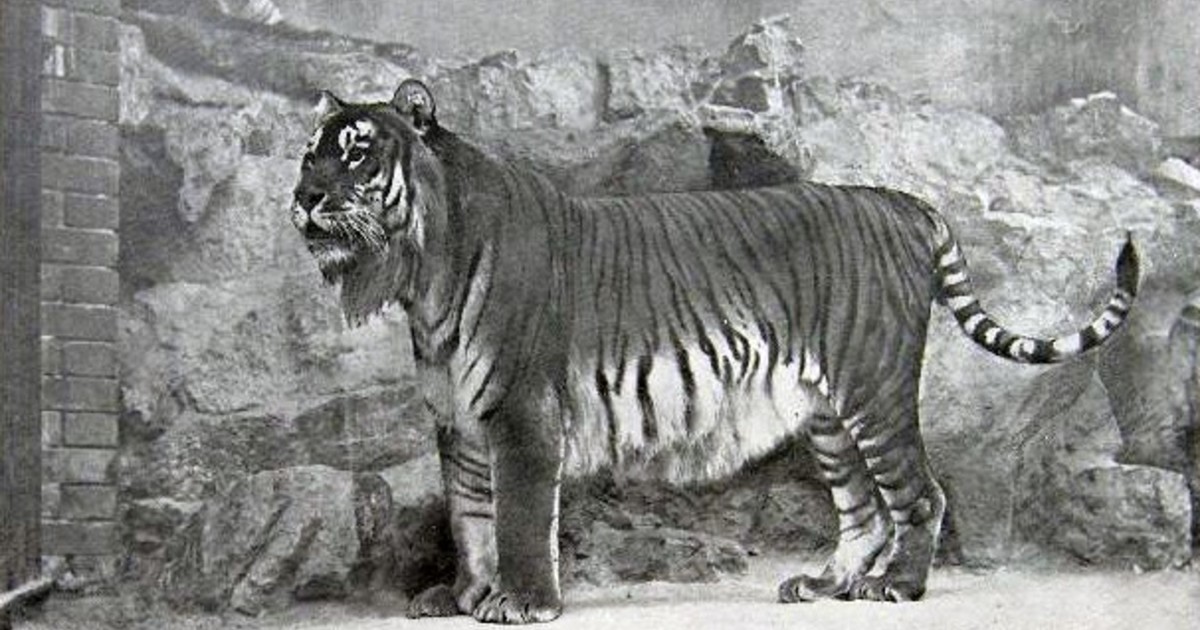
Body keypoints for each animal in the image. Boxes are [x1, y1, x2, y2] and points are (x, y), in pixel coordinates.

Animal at [290, 79, 1139, 624]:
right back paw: (823, 585)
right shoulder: (458, 419)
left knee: (919, 495)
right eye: (309, 155)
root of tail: (900, 201)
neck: (422, 272)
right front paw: (463, 596)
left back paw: (896, 587)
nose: (303, 198)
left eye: (358, 153)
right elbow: (469, 516)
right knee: (862, 508)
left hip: (874, 389)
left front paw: (522, 603)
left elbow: (520, 517)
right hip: (828, 413)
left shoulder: (520, 414)